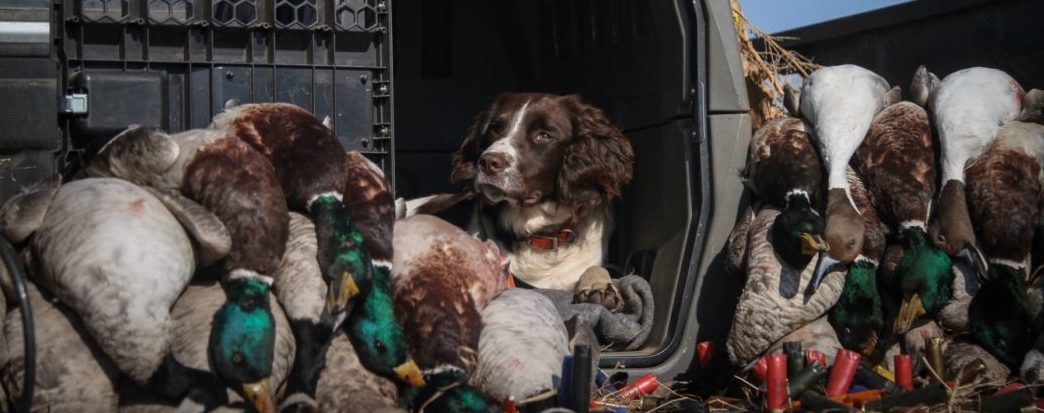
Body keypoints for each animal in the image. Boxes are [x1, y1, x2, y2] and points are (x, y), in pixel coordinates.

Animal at [405, 91, 634, 308]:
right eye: (495, 128)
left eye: (544, 135)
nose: (487, 162)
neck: (539, 236)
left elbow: (596, 268)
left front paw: (599, 285)